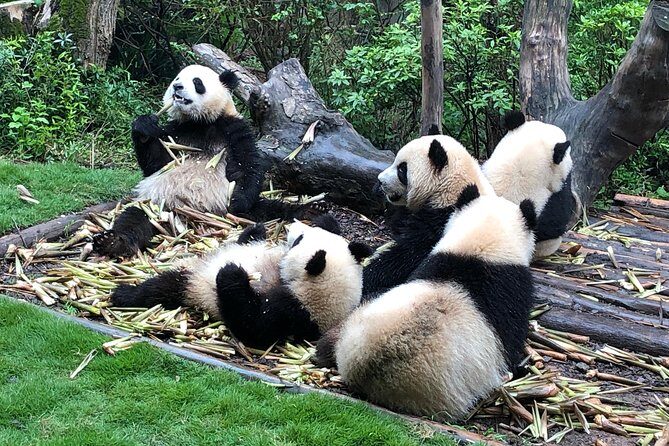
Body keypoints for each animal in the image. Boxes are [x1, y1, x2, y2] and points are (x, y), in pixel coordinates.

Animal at [93, 64, 297, 258]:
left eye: (197, 82)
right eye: (177, 78)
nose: (177, 87)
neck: (199, 121)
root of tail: (190, 221)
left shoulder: (232, 128)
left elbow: (248, 165)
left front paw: (238, 201)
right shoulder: (176, 132)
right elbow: (157, 164)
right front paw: (144, 126)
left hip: (239, 211)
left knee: (275, 211)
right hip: (159, 207)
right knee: (135, 217)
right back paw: (112, 242)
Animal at [215, 215, 373, 348]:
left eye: (298, 240)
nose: (293, 227)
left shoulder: (290, 311)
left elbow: (253, 328)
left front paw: (231, 273)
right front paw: (327, 221)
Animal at [316, 187, 536, 418]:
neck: (481, 249)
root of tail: (364, 370)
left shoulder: (431, 262)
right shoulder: (510, 295)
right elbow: (511, 345)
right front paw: (520, 366)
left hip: (360, 318)